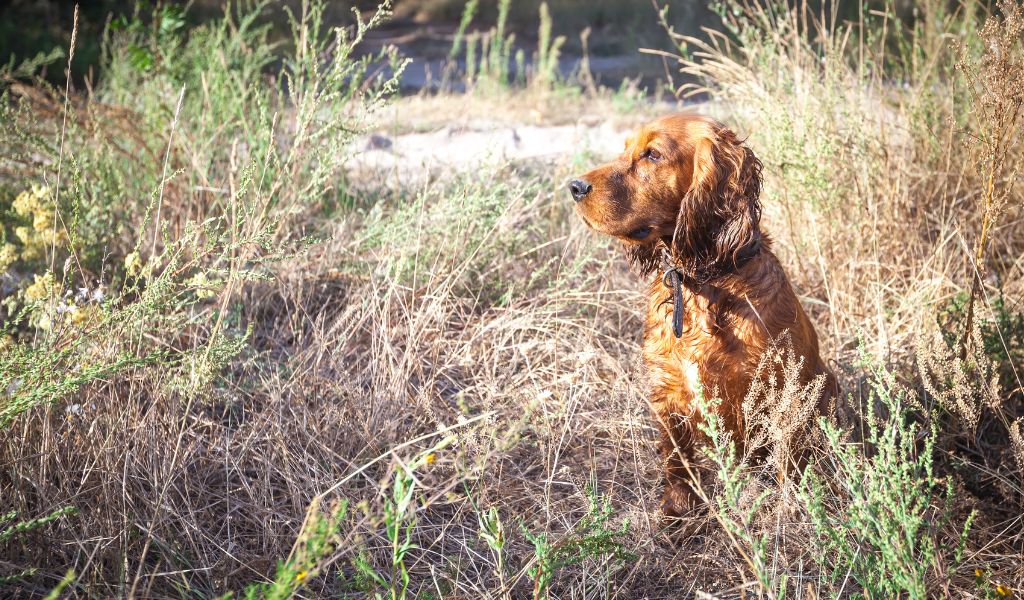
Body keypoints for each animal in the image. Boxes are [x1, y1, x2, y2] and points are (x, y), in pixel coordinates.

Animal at [569, 113, 831, 513]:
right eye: (625, 148)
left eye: (652, 154)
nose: (575, 186)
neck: (701, 283)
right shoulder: (669, 389)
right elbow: (677, 460)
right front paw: (678, 510)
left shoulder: (778, 395)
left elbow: (787, 464)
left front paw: (791, 510)